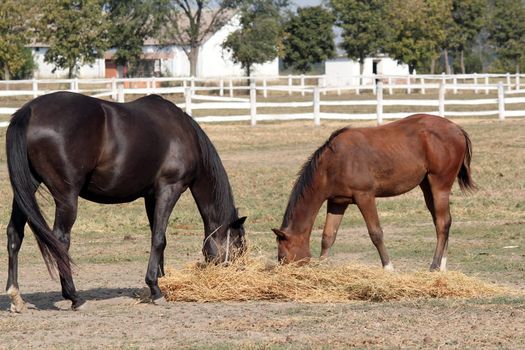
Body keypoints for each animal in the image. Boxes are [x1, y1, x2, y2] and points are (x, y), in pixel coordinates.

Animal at [4, 91, 246, 312]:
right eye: (238, 245)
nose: (239, 272)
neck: (185, 134)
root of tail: (30, 110)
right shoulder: (169, 189)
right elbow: (158, 239)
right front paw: (156, 289)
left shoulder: (151, 196)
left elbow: (160, 238)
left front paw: (161, 282)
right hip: (66, 197)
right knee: (60, 242)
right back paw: (74, 297)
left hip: (26, 189)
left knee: (14, 234)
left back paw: (16, 297)